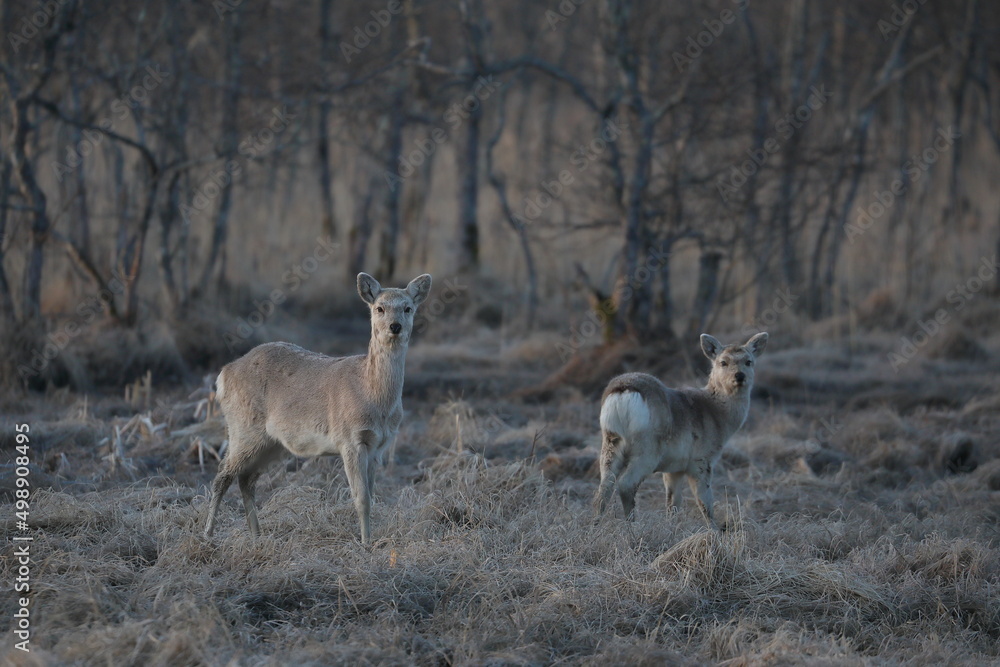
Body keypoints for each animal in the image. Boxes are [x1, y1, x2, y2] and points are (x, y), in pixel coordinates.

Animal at [204, 272, 432, 544]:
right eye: (379, 308)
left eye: (408, 308)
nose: (395, 326)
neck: (372, 395)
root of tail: (224, 375)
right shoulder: (349, 440)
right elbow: (361, 498)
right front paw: (365, 544)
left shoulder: (378, 446)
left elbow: (372, 495)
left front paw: (371, 540)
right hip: (242, 427)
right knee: (222, 475)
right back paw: (207, 535)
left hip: (271, 442)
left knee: (246, 479)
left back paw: (257, 536)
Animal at [594, 332, 768, 530]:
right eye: (723, 362)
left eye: (749, 361)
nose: (739, 376)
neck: (718, 417)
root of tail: (623, 391)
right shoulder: (701, 459)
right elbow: (704, 501)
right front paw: (714, 530)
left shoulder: (674, 467)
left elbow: (672, 503)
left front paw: (672, 528)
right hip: (648, 447)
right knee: (626, 483)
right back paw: (632, 527)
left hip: (610, 440)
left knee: (605, 485)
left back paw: (595, 525)